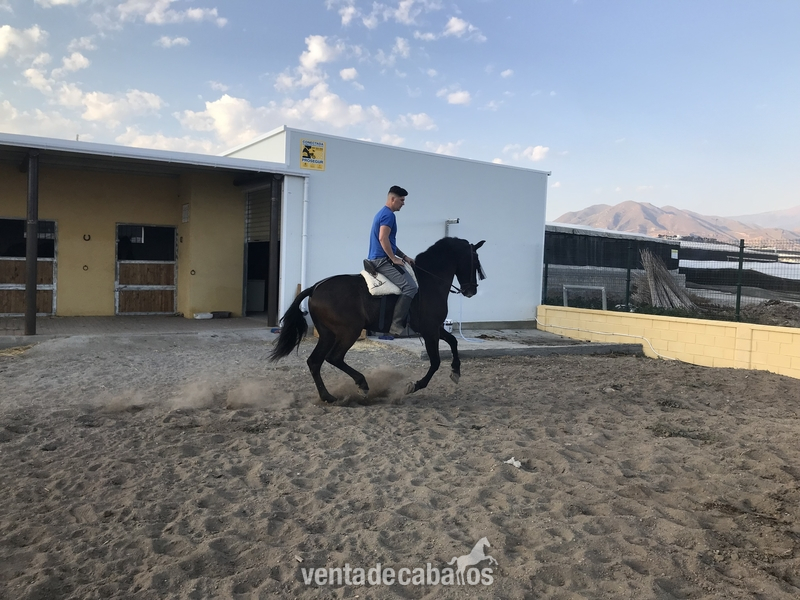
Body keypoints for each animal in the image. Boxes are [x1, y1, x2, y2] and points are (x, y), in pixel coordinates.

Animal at [269, 237, 485, 403]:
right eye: (475, 260)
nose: (471, 291)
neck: (429, 281)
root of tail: (315, 287)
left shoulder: (433, 328)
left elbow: (454, 341)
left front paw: (456, 371)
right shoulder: (429, 330)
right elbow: (435, 362)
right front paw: (414, 385)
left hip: (328, 334)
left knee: (315, 361)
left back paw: (328, 397)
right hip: (349, 331)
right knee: (334, 358)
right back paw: (362, 384)